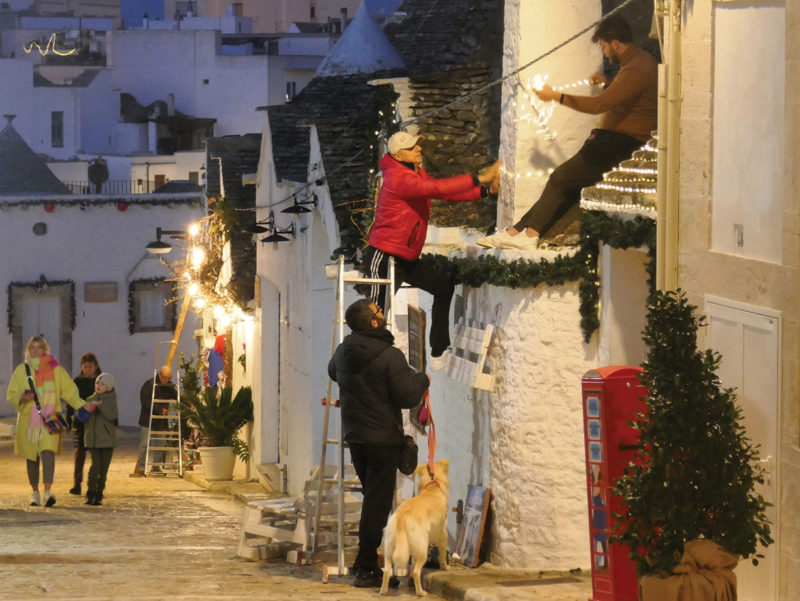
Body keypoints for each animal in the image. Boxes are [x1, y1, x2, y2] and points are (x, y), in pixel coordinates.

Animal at [382, 460, 450, 596]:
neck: (432, 486)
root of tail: (402, 515)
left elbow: (412, 563)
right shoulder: (443, 533)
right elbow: (442, 554)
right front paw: (445, 567)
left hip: (390, 548)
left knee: (387, 570)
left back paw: (383, 591)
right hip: (423, 549)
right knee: (416, 571)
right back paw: (421, 592)